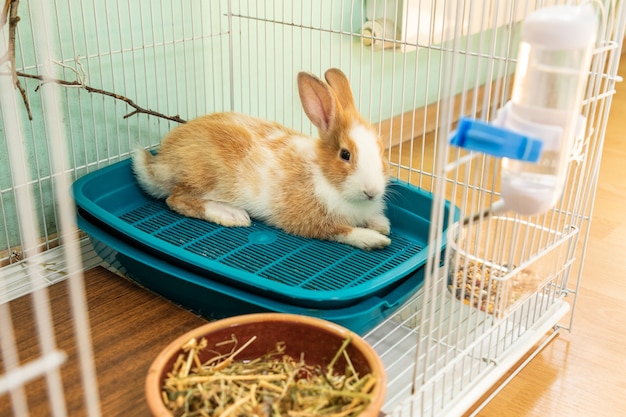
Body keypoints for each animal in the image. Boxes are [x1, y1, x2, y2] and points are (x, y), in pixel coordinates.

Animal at [132, 68, 390, 250]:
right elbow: (342, 231)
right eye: (345, 154)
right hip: (204, 177)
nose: (371, 192)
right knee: (176, 200)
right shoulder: (311, 222)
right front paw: (374, 239)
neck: (325, 177)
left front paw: (382, 224)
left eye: (380, 149)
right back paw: (231, 215)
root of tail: (159, 163)